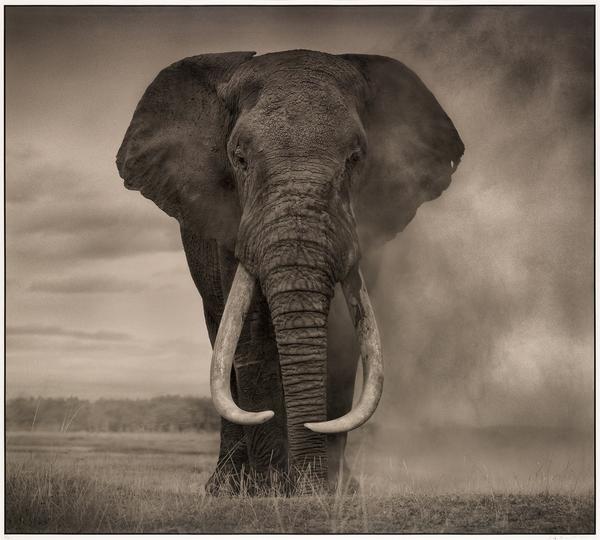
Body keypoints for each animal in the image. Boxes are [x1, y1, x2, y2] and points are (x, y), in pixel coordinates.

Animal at [117, 49, 464, 494]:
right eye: (240, 159)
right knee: (221, 338)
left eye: (355, 159)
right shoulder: (229, 220)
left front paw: (329, 491)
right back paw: (228, 488)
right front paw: (269, 491)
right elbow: (251, 334)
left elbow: (344, 333)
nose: (305, 482)